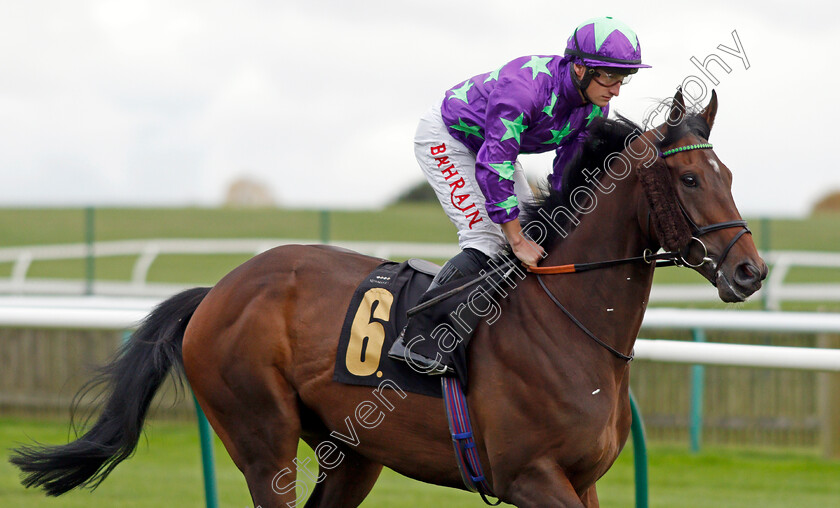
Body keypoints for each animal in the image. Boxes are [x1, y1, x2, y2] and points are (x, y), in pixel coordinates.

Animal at [8, 89, 768, 506]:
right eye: (692, 179)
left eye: (729, 174)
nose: (750, 272)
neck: (569, 323)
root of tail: (220, 289)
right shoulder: (531, 476)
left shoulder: (582, 480)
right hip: (260, 435)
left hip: (354, 452)